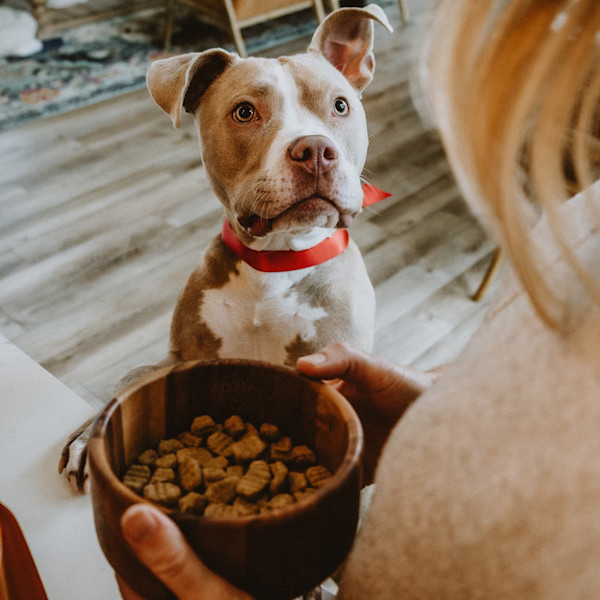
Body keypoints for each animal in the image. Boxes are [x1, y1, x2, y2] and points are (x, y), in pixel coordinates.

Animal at [58, 4, 392, 490]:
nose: (314, 149)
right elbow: (130, 382)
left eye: (340, 106)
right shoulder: (180, 358)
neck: (274, 263)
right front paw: (91, 436)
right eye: (245, 112)